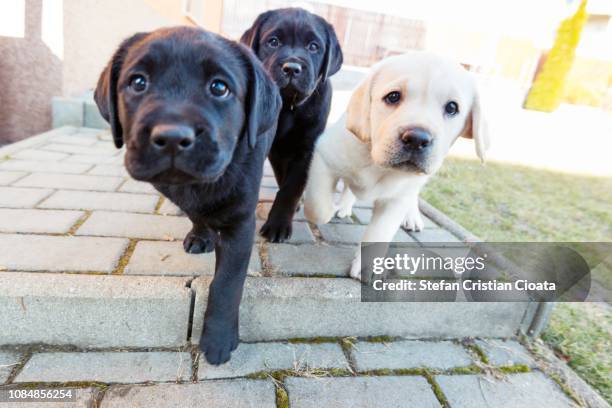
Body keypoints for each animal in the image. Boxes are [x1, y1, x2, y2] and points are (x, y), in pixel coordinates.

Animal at [94, 27, 282, 364]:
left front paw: (218, 340)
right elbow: (195, 212)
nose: (172, 137)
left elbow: (226, 284)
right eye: (138, 82)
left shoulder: (239, 224)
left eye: (219, 87)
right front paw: (200, 234)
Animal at [240, 7, 344, 242]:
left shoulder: (306, 150)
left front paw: (278, 225)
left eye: (313, 46)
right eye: (273, 42)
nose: (292, 68)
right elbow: (282, 180)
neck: (287, 107)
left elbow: (291, 188)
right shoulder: (273, 151)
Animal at [304, 51, 490, 280]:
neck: (376, 162)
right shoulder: (324, 156)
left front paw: (368, 266)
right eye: (393, 97)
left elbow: (379, 234)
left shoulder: (396, 199)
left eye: (452, 108)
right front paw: (329, 209)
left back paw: (412, 217)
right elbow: (317, 207)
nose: (417, 139)